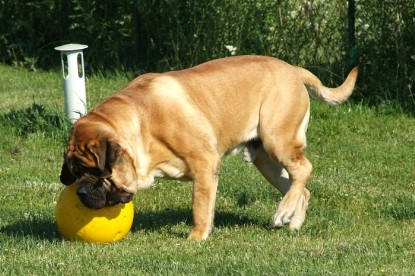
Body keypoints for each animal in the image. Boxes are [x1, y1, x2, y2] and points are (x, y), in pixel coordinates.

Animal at [58, 55, 358, 239]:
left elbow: (200, 205)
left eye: (97, 173)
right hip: (265, 160)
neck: (140, 122)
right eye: (75, 173)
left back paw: (283, 212)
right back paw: (293, 220)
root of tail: (293, 69)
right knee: (300, 185)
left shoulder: (205, 164)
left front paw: (196, 237)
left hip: (278, 140)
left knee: (304, 169)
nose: (81, 191)